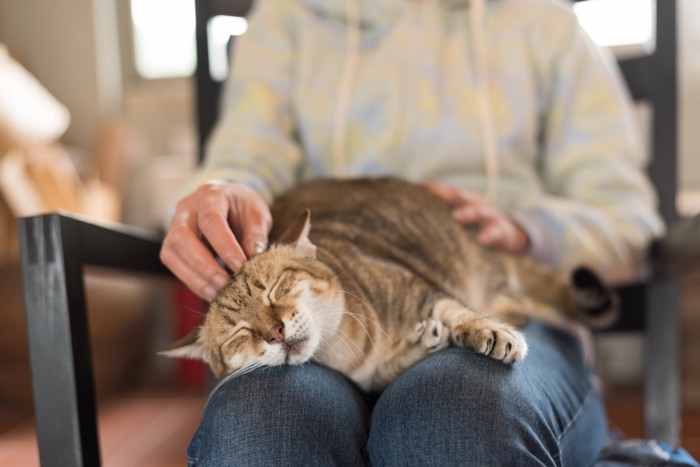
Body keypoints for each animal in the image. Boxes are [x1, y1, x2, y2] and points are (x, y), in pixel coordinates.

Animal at [161, 177, 616, 394]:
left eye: (275, 288)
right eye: (239, 332)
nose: (274, 332)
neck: (347, 349)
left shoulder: (422, 288)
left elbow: (457, 310)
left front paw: (486, 331)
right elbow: (386, 372)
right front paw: (422, 344)